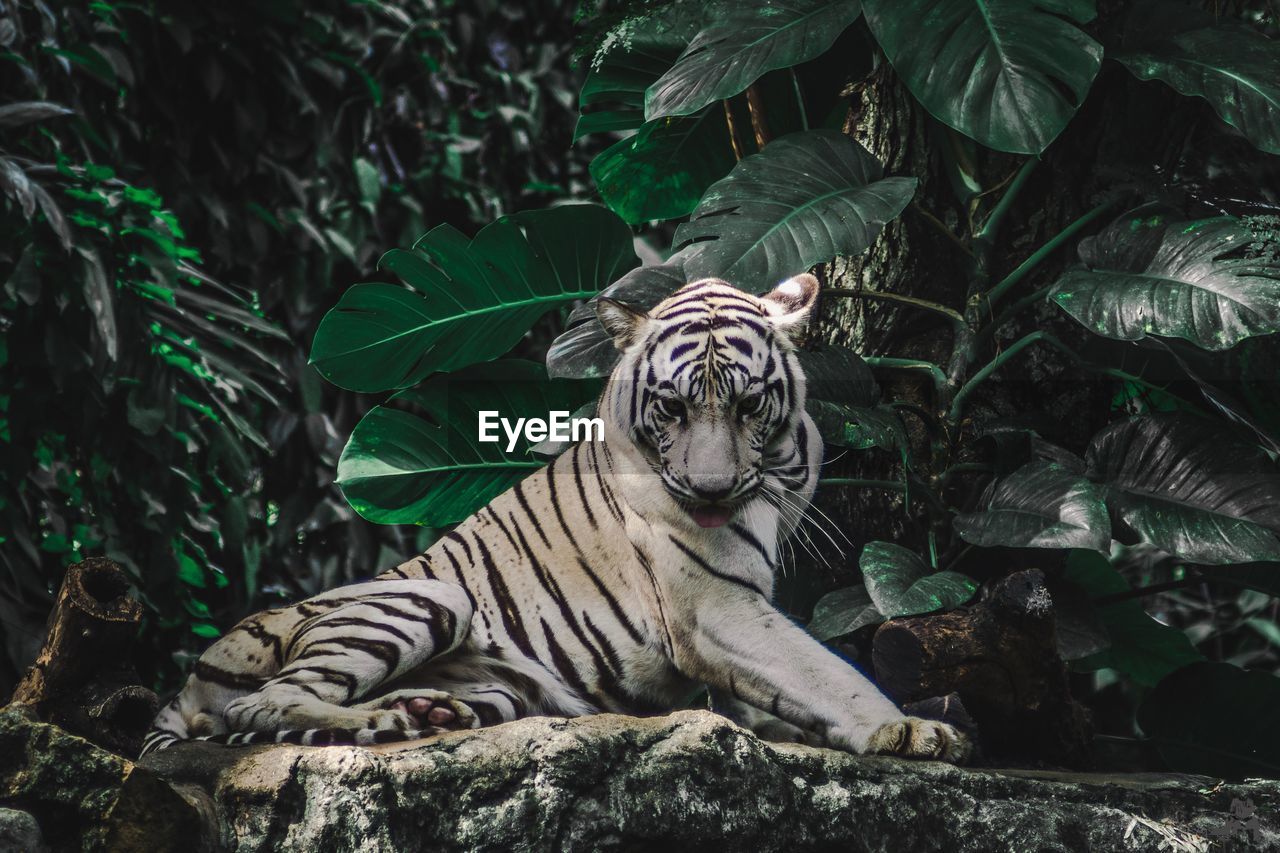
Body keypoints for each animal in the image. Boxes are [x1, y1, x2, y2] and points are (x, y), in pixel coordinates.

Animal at [142, 270, 967, 758]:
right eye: (672, 408)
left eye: (747, 404)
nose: (708, 493)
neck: (778, 469)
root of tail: (185, 682)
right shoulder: (711, 604)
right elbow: (819, 664)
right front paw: (905, 725)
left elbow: (777, 679)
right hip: (427, 595)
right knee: (270, 702)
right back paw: (384, 722)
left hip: (501, 679)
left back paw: (428, 712)